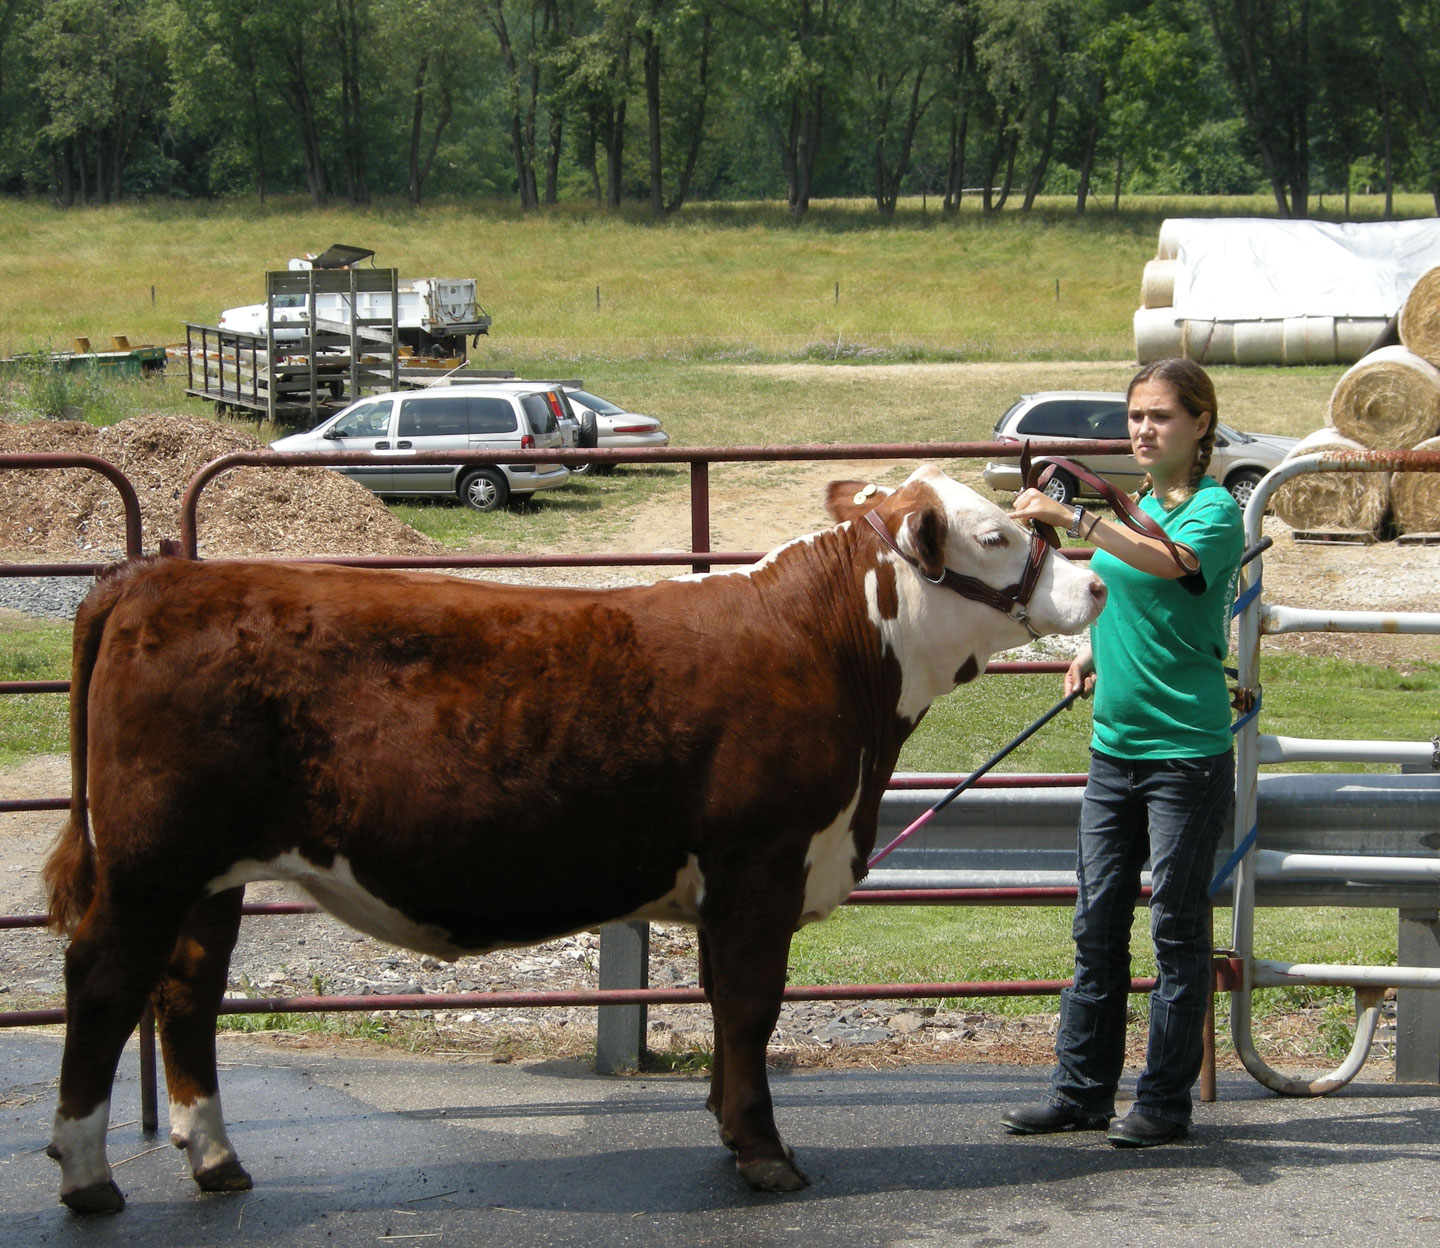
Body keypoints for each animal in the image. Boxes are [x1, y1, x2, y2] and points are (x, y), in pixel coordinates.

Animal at [45, 466, 1100, 1209]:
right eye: (997, 534)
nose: (1092, 588)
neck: (833, 646)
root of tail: (158, 576)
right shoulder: (761, 860)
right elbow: (751, 1006)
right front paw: (764, 1154)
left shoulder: (732, 879)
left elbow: (721, 1006)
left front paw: (730, 1131)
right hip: (150, 862)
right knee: (104, 985)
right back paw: (87, 1174)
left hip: (209, 875)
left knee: (186, 992)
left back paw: (216, 1160)